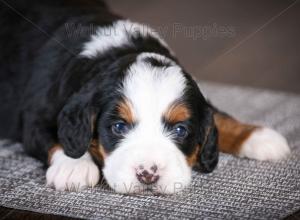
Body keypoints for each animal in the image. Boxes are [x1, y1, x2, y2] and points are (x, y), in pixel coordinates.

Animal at [0, 0, 290, 194]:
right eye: (118, 127)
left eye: (181, 130)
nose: (148, 175)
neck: (117, 50)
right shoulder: (35, 116)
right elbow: (55, 138)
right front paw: (74, 167)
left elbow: (218, 116)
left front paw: (257, 136)